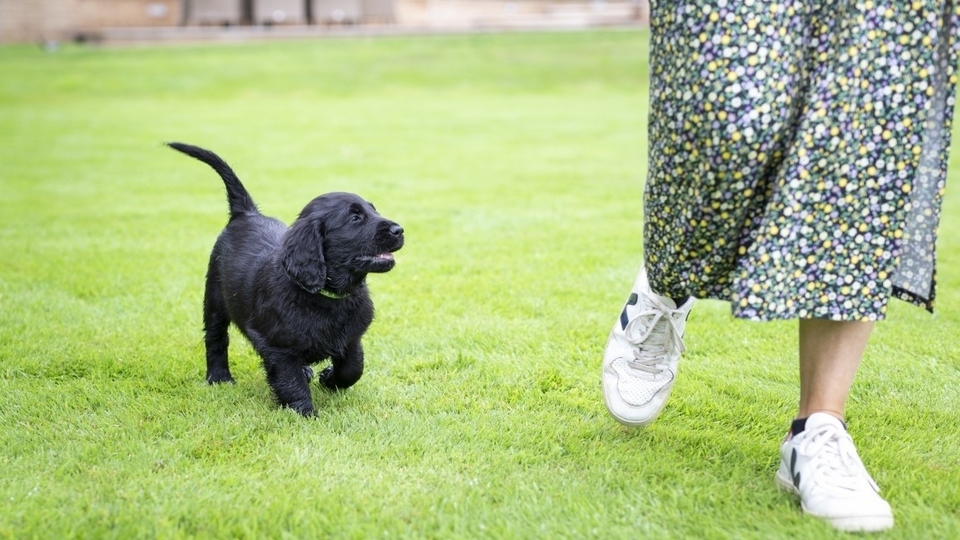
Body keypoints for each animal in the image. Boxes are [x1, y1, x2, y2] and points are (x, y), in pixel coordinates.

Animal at [169, 141, 402, 416]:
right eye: (355, 218)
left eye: (373, 210)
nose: (400, 230)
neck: (326, 296)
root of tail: (246, 214)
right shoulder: (278, 346)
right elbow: (290, 380)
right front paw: (305, 413)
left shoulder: (352, 338)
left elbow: (353, 367)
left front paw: (329, 378)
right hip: (215, 298)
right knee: (216, 339)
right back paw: (219, 378)